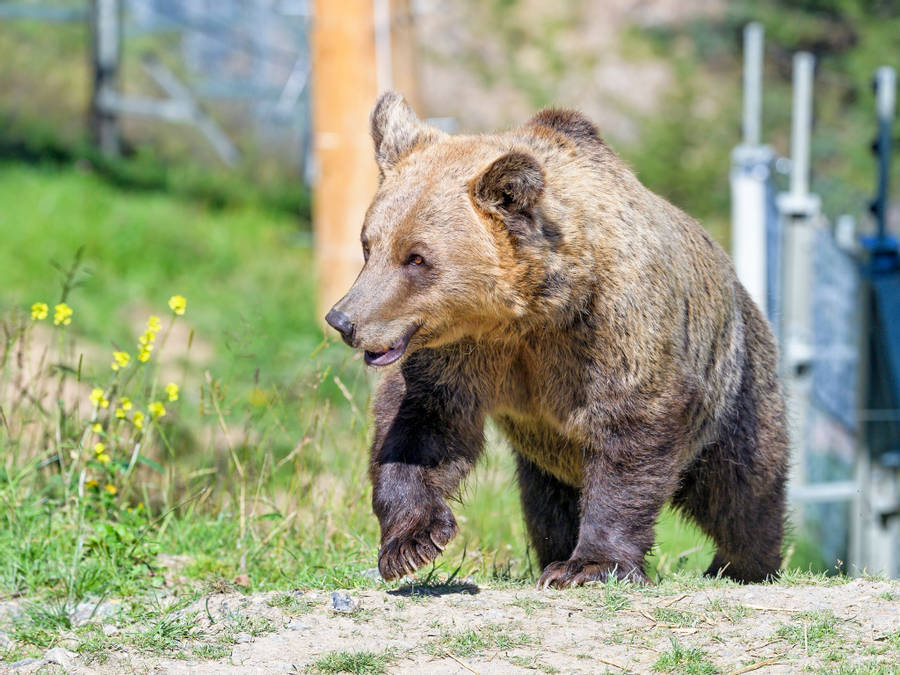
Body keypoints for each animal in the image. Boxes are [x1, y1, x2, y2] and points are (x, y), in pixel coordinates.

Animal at [326, 92, 788, 588]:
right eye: (369, 245)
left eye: (416, 258)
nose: (343, 319)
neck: (530, 314)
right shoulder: (465, 353)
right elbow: (422, 424)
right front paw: (411, 543)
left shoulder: (612, 330)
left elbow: (630, 432)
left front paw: (590, 565)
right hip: (544, 461)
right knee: (547, 505)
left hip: (734, 387)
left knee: (742, 490)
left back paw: (743, 563)